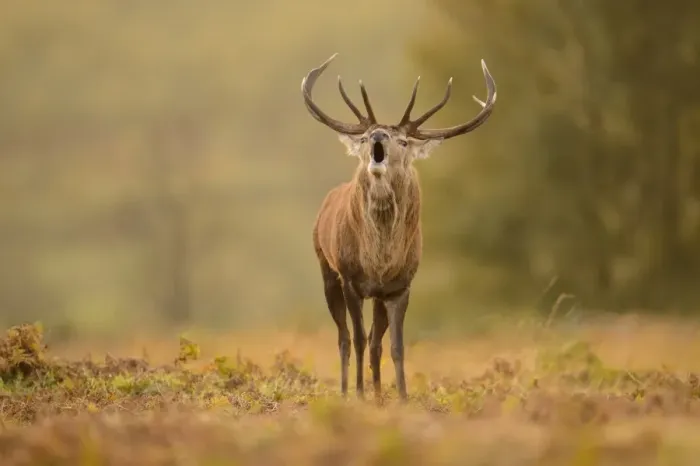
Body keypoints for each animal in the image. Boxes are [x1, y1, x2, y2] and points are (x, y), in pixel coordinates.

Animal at [301, 53, 497, 402]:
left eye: (403, 140)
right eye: (366, 137)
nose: (379, 136)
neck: (380, 260)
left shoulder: (400, 285)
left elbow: (396, 346)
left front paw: (401, 399)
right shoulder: (351, 278)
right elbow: (358, 339)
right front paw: (360, 395)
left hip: (377, 295)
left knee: (375, 342)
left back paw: (379, 396)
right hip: (327, 270)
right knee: (345, 338)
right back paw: (346, 392)